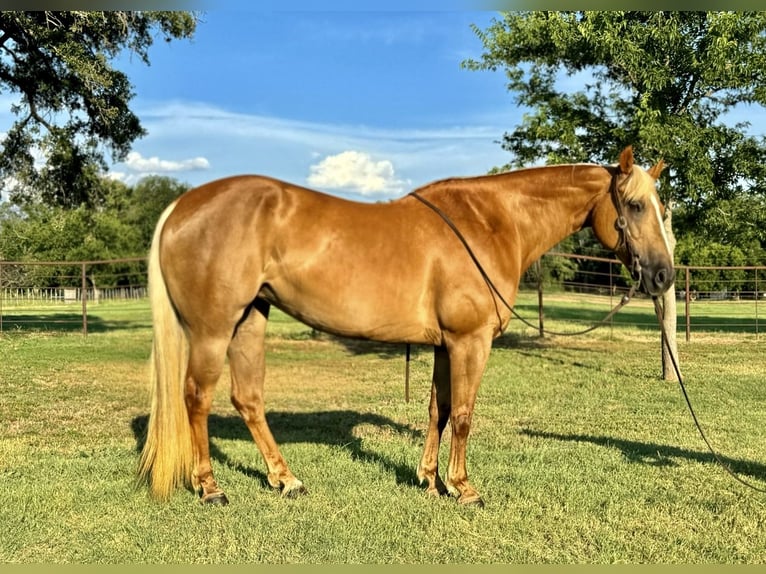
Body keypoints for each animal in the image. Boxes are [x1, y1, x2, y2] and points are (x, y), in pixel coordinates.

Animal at [140, 145, 680, 508]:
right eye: (635, 206)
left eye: (663, 209)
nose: (663, 275)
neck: (490, 223)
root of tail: (183, 207)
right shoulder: (470, 342)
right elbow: (462, 414)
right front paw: (464, 489)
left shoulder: (445, 345)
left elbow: (437, 410)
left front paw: (431, 481)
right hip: (213, 330)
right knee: (196, 398)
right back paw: (211, 488)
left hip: (250, 320)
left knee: (248, 399)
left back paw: (286, 480)